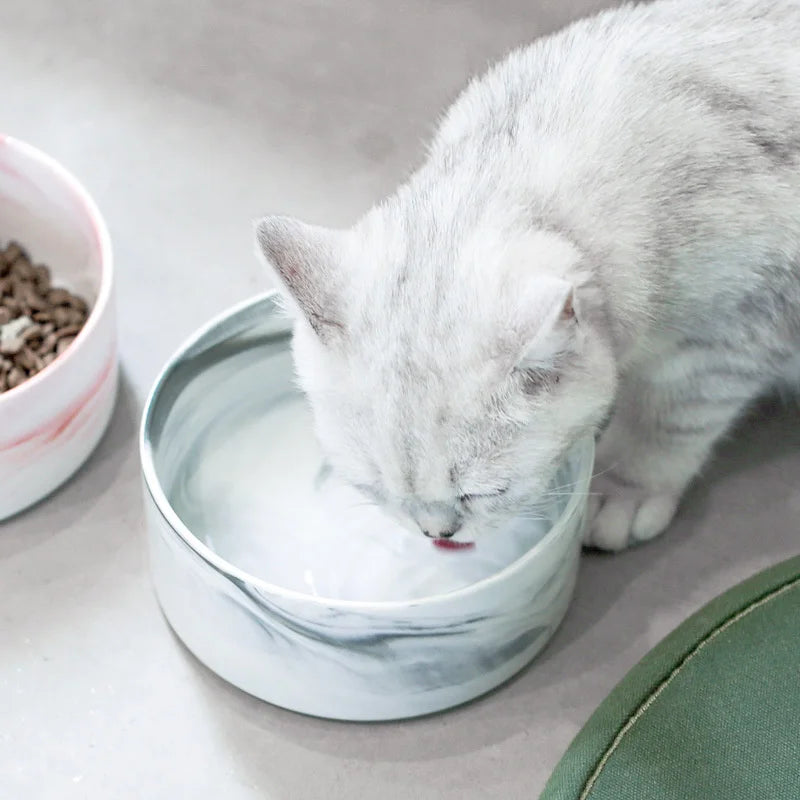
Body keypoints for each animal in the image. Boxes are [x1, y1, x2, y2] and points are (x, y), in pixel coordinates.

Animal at [255, 0, 800, 552]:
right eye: (375, 488)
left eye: (483, 493)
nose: (437, 533)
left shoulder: (728, 340)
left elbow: (665, 422)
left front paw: (623, 488)